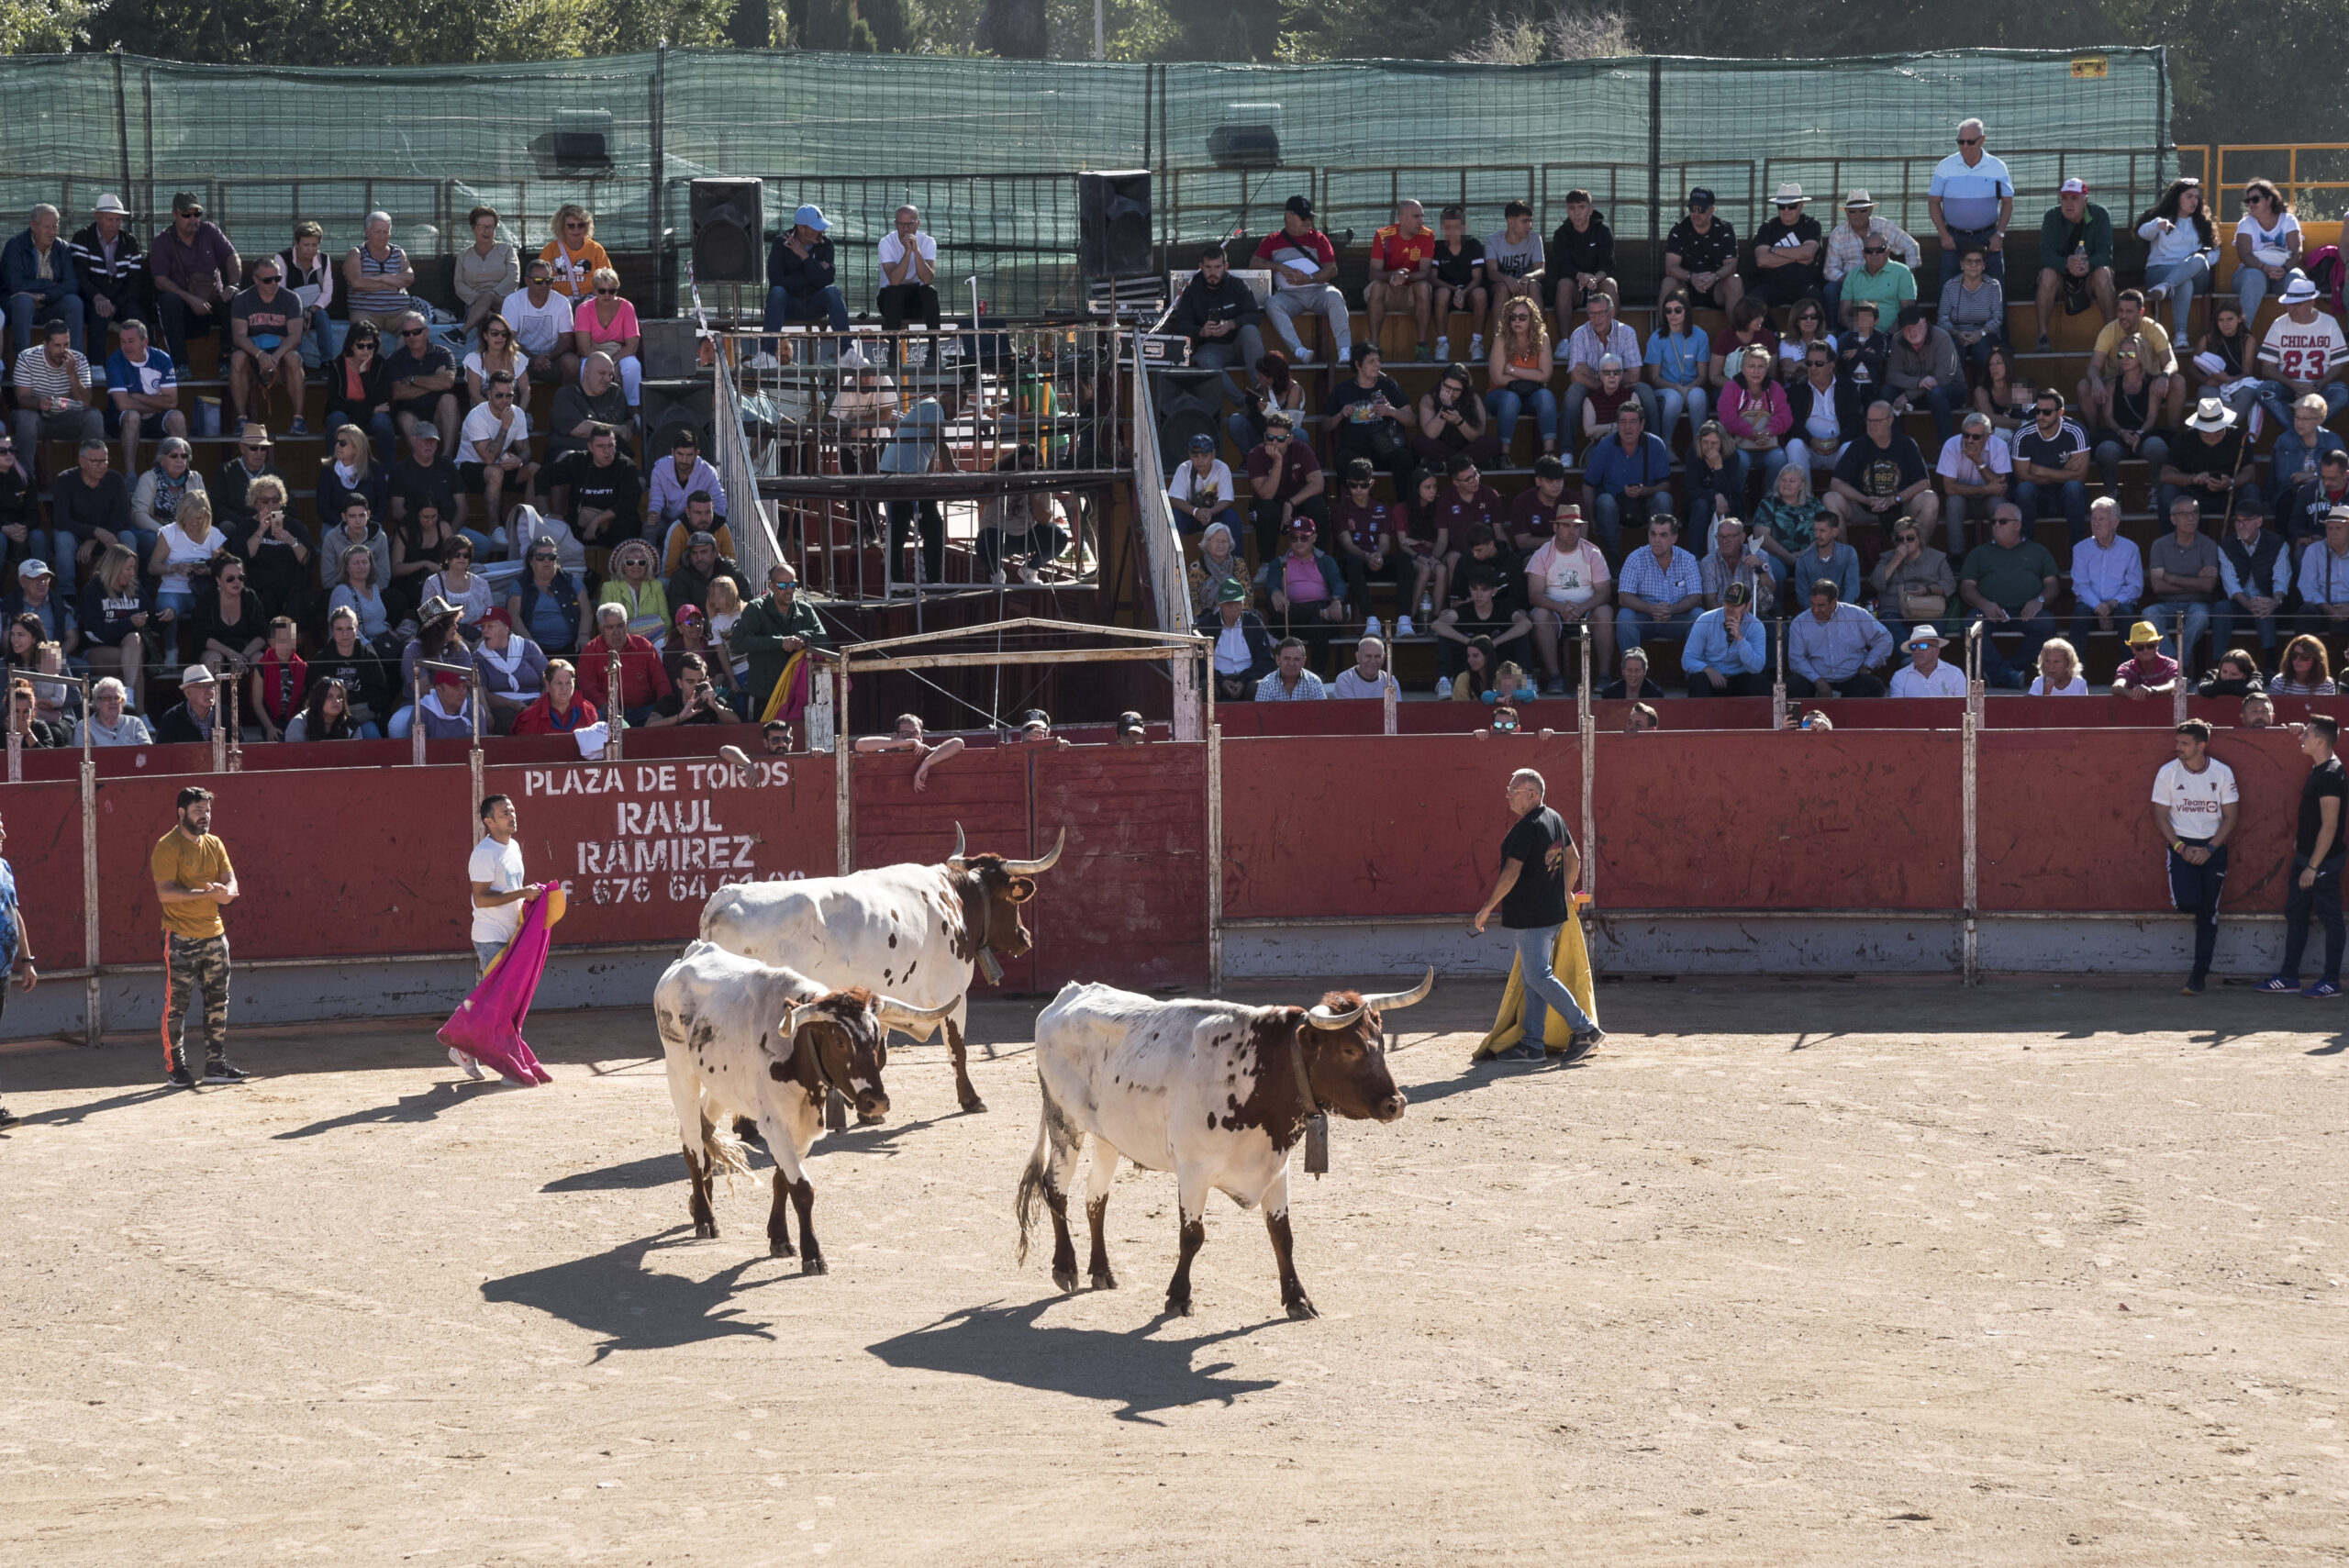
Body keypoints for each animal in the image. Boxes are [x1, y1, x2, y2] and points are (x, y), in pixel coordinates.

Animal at [652, 943, 953, 1276]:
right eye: (839, 1040)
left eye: (878, 1041)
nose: (877, 1102)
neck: (799, 1051)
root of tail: (691, 953)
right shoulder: (774, 1126)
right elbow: (802, 1189)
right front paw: (812, 1254)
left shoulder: (803, 1131)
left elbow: (782, 1180)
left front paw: (779, 1237)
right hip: (680, 1070)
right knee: (693, 1143)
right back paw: (706, 1218)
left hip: (721, 1085)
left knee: (701, 1128)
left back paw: (698, 1203)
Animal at [695, 826, 1066, 1107]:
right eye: (1011, 901)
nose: (1025, 938)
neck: (953, 900)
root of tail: (720, 903)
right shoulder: (952, 992)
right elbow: (957, 1047)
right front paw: (971, 1099)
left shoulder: (888, 997)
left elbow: (880, 1050)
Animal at [1014, 972, 1428, 1314]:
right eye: (1350, 1050)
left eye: (1380, 1044)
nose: (1396, 1104)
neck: (1261, 1073)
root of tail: (1067, 995)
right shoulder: (1194, 1171)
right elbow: (1192, 1236)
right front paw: (1179, 1296)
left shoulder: (1276, 1167)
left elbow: (1282, 1235)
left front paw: (1297, 1298)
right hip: (1065, 1124)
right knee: (1056, 1189)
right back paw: (1065, 1267)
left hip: (1108, 1137)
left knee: (1095, 1198)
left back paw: (1101, 1270)